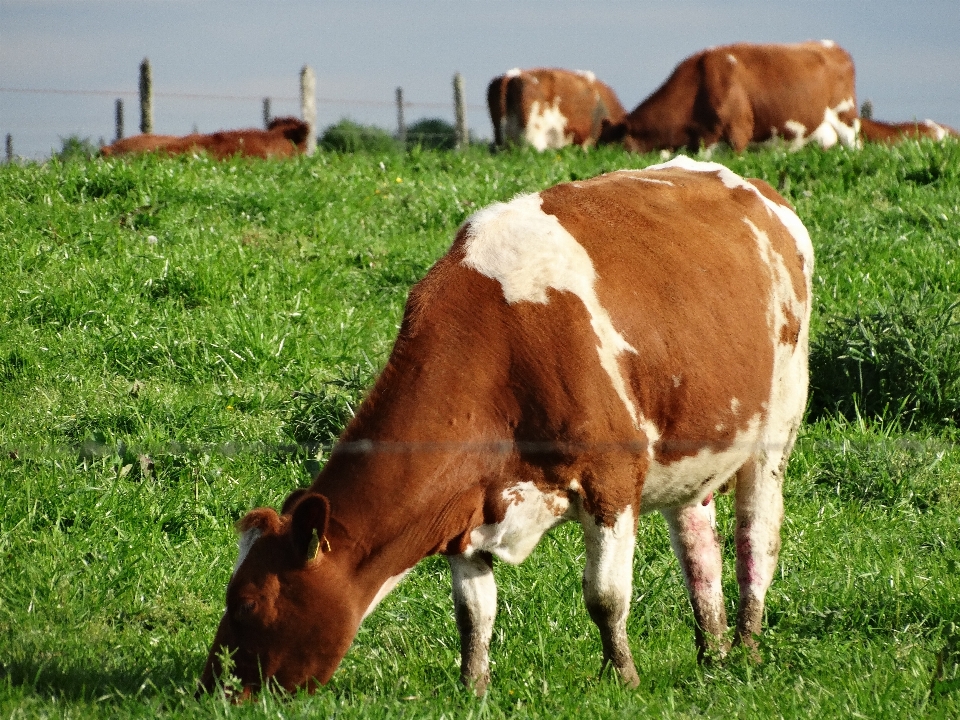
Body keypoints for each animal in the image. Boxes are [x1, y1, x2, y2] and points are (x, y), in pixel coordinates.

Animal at [199, 156, 812, 696]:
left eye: (247, 602)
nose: (212, 690)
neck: (499, 352)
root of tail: (758, 189)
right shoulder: (465, 507)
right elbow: (474, 614)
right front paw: (473, 688)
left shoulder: (612, 479)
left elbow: (605, 596)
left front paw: (623, 678)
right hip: (695, 446)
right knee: (698, 546)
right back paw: (713, 651)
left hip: (777, 428)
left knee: (757, 538)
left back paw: (748, 648)